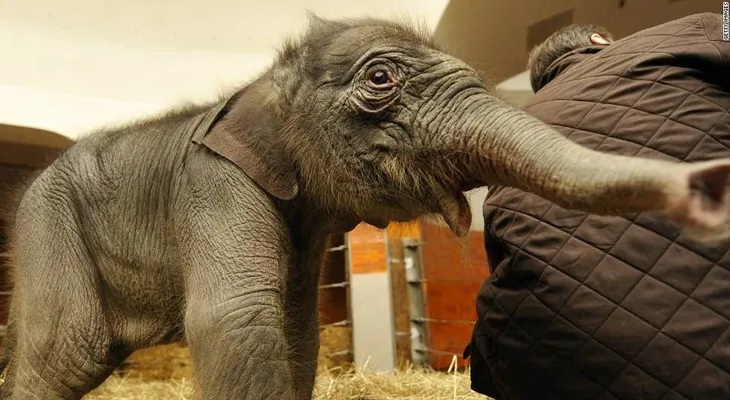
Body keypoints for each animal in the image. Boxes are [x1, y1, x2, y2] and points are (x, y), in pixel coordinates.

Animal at [1, 15, 730, 400]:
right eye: (381, 78)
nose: (708, 190)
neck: (263, 87)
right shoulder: (214, 185)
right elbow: (236, 321)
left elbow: (295, 331)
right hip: (48, 227)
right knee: (67, 350)